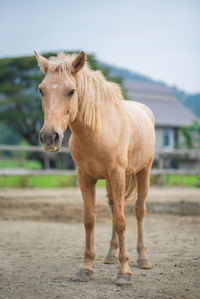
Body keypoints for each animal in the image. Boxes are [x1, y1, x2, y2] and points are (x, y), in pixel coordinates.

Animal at [34, 50, 155, 284]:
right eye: (41, 90)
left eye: (71, 91)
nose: (49, 137)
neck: (98, 131)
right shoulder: (85, 177)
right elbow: (90, 219)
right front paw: (86, 267)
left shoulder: (118, 175)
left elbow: (121, 221)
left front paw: (124, 271)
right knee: (114, 208)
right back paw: (110, 255)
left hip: (143, 172)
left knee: (139, 211)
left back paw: (143, 258)